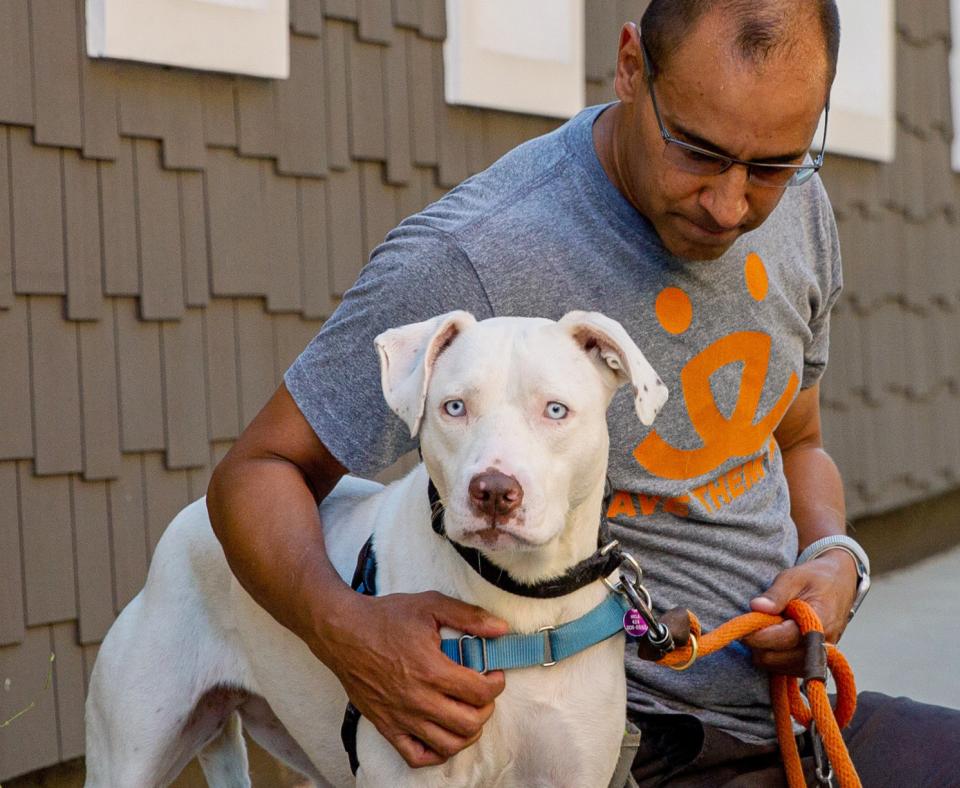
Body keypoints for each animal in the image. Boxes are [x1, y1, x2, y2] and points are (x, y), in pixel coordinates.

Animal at [84, 310, 668, 784]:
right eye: (454, 407)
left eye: (555, 410)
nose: (494, 492)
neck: (518, 599)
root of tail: (189, 517)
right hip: (129, 755)